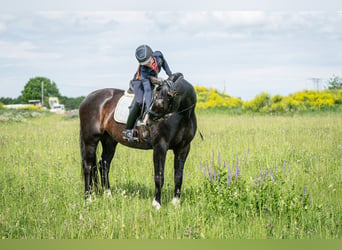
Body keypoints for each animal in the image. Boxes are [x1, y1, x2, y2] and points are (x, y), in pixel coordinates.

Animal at [79, 73, 198, 209]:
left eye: (161, 101)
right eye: (153, 97)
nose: (146, 121)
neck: (182, 116)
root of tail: (87, 98)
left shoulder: (183, 148)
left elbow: (178, 176)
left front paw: (175, 203)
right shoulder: (160, 146)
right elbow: (159, 176)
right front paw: (156, 204)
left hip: (109, 141)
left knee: (104, 165)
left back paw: (108, 196)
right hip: (90, 140)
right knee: (88, 167)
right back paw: (88, 199)